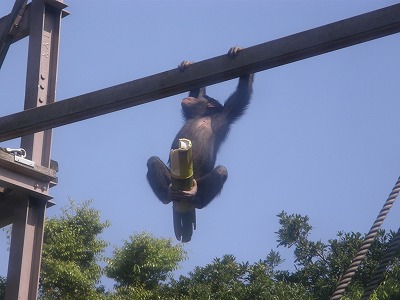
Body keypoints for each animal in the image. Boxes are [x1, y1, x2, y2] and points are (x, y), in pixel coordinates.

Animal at [146, 47, 253, 241]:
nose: (188, 100)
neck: (203, 115)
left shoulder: (227, 114)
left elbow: (242, 95)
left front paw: (238, 55)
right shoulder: (189, 113)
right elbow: (197, 89)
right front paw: (187, 65)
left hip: (197, 183)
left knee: (221, 172)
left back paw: (196, 197)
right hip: (174, 179)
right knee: (152, 162)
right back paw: (167, 195)